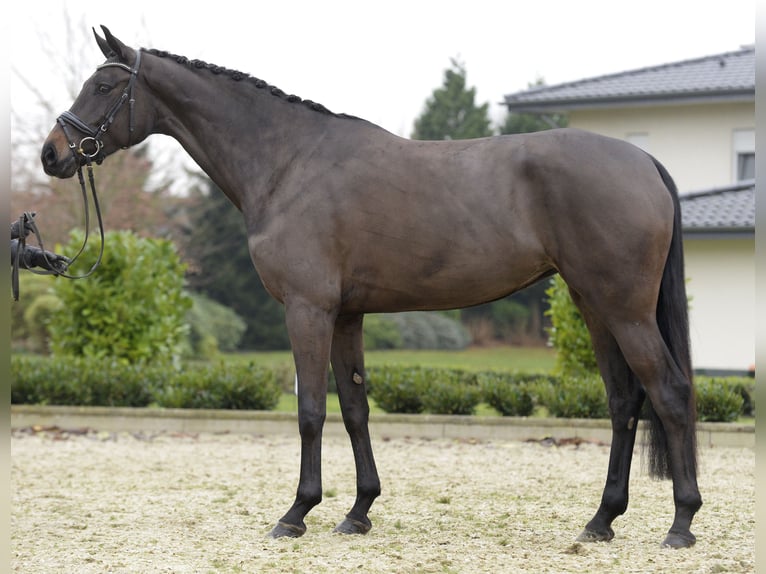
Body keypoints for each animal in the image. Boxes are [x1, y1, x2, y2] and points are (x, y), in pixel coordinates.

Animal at [40, 25, 704, 548]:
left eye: (104, 87)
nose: (52, 154)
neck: (288, 164)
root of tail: (645, 163)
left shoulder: (307, 310)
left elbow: (311, 410)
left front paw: (296, 513)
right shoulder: (345, 316)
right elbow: (356, 408)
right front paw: (358, 511)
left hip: (624, 309)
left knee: (669, 393)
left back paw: (681, 524)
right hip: (593, 306)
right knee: (623, 402)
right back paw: (600, 521)